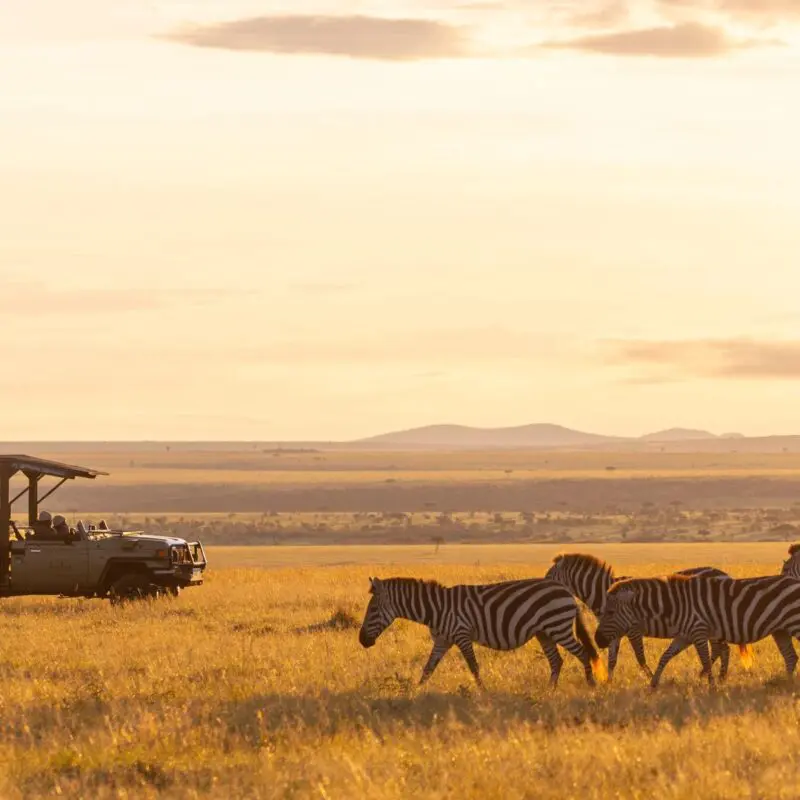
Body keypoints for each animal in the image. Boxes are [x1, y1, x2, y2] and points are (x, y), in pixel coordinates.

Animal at [358, 576, 607, 690]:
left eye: (372, 610)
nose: (362, 641)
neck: (436, 609)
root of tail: (565, 590)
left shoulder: (462, 635)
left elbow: (473, 666)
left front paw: (483, 691)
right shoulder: (443, 640)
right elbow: (428, 668)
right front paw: (416, 691)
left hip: (558, 627)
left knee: (583, 653)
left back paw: (590, 685)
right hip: (544, 632)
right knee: (556, 661)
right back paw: (550, 690)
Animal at [544, 553, 752, 680]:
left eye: (549, 575)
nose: (542, 587)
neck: (604, 592)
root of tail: (725, 575)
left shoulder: (633, 629)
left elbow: (640, 657)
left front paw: (651, 677)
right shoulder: (614, 631)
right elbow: (612, 659)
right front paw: (609, 683)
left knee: (721, 649)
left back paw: (711, 676)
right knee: (723, 649)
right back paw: (716, 676)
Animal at [594, 574, 800, 688]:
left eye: (610, 612)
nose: (597, 640)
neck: (675, 606)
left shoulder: (699, 632)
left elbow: (705, 661)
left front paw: (712, 687)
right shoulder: (684, 635)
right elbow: (665, 657)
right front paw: (653, 684)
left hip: (794, 624)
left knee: (791, 656)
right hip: (780, 630)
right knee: (790, 657)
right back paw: (787, 683)